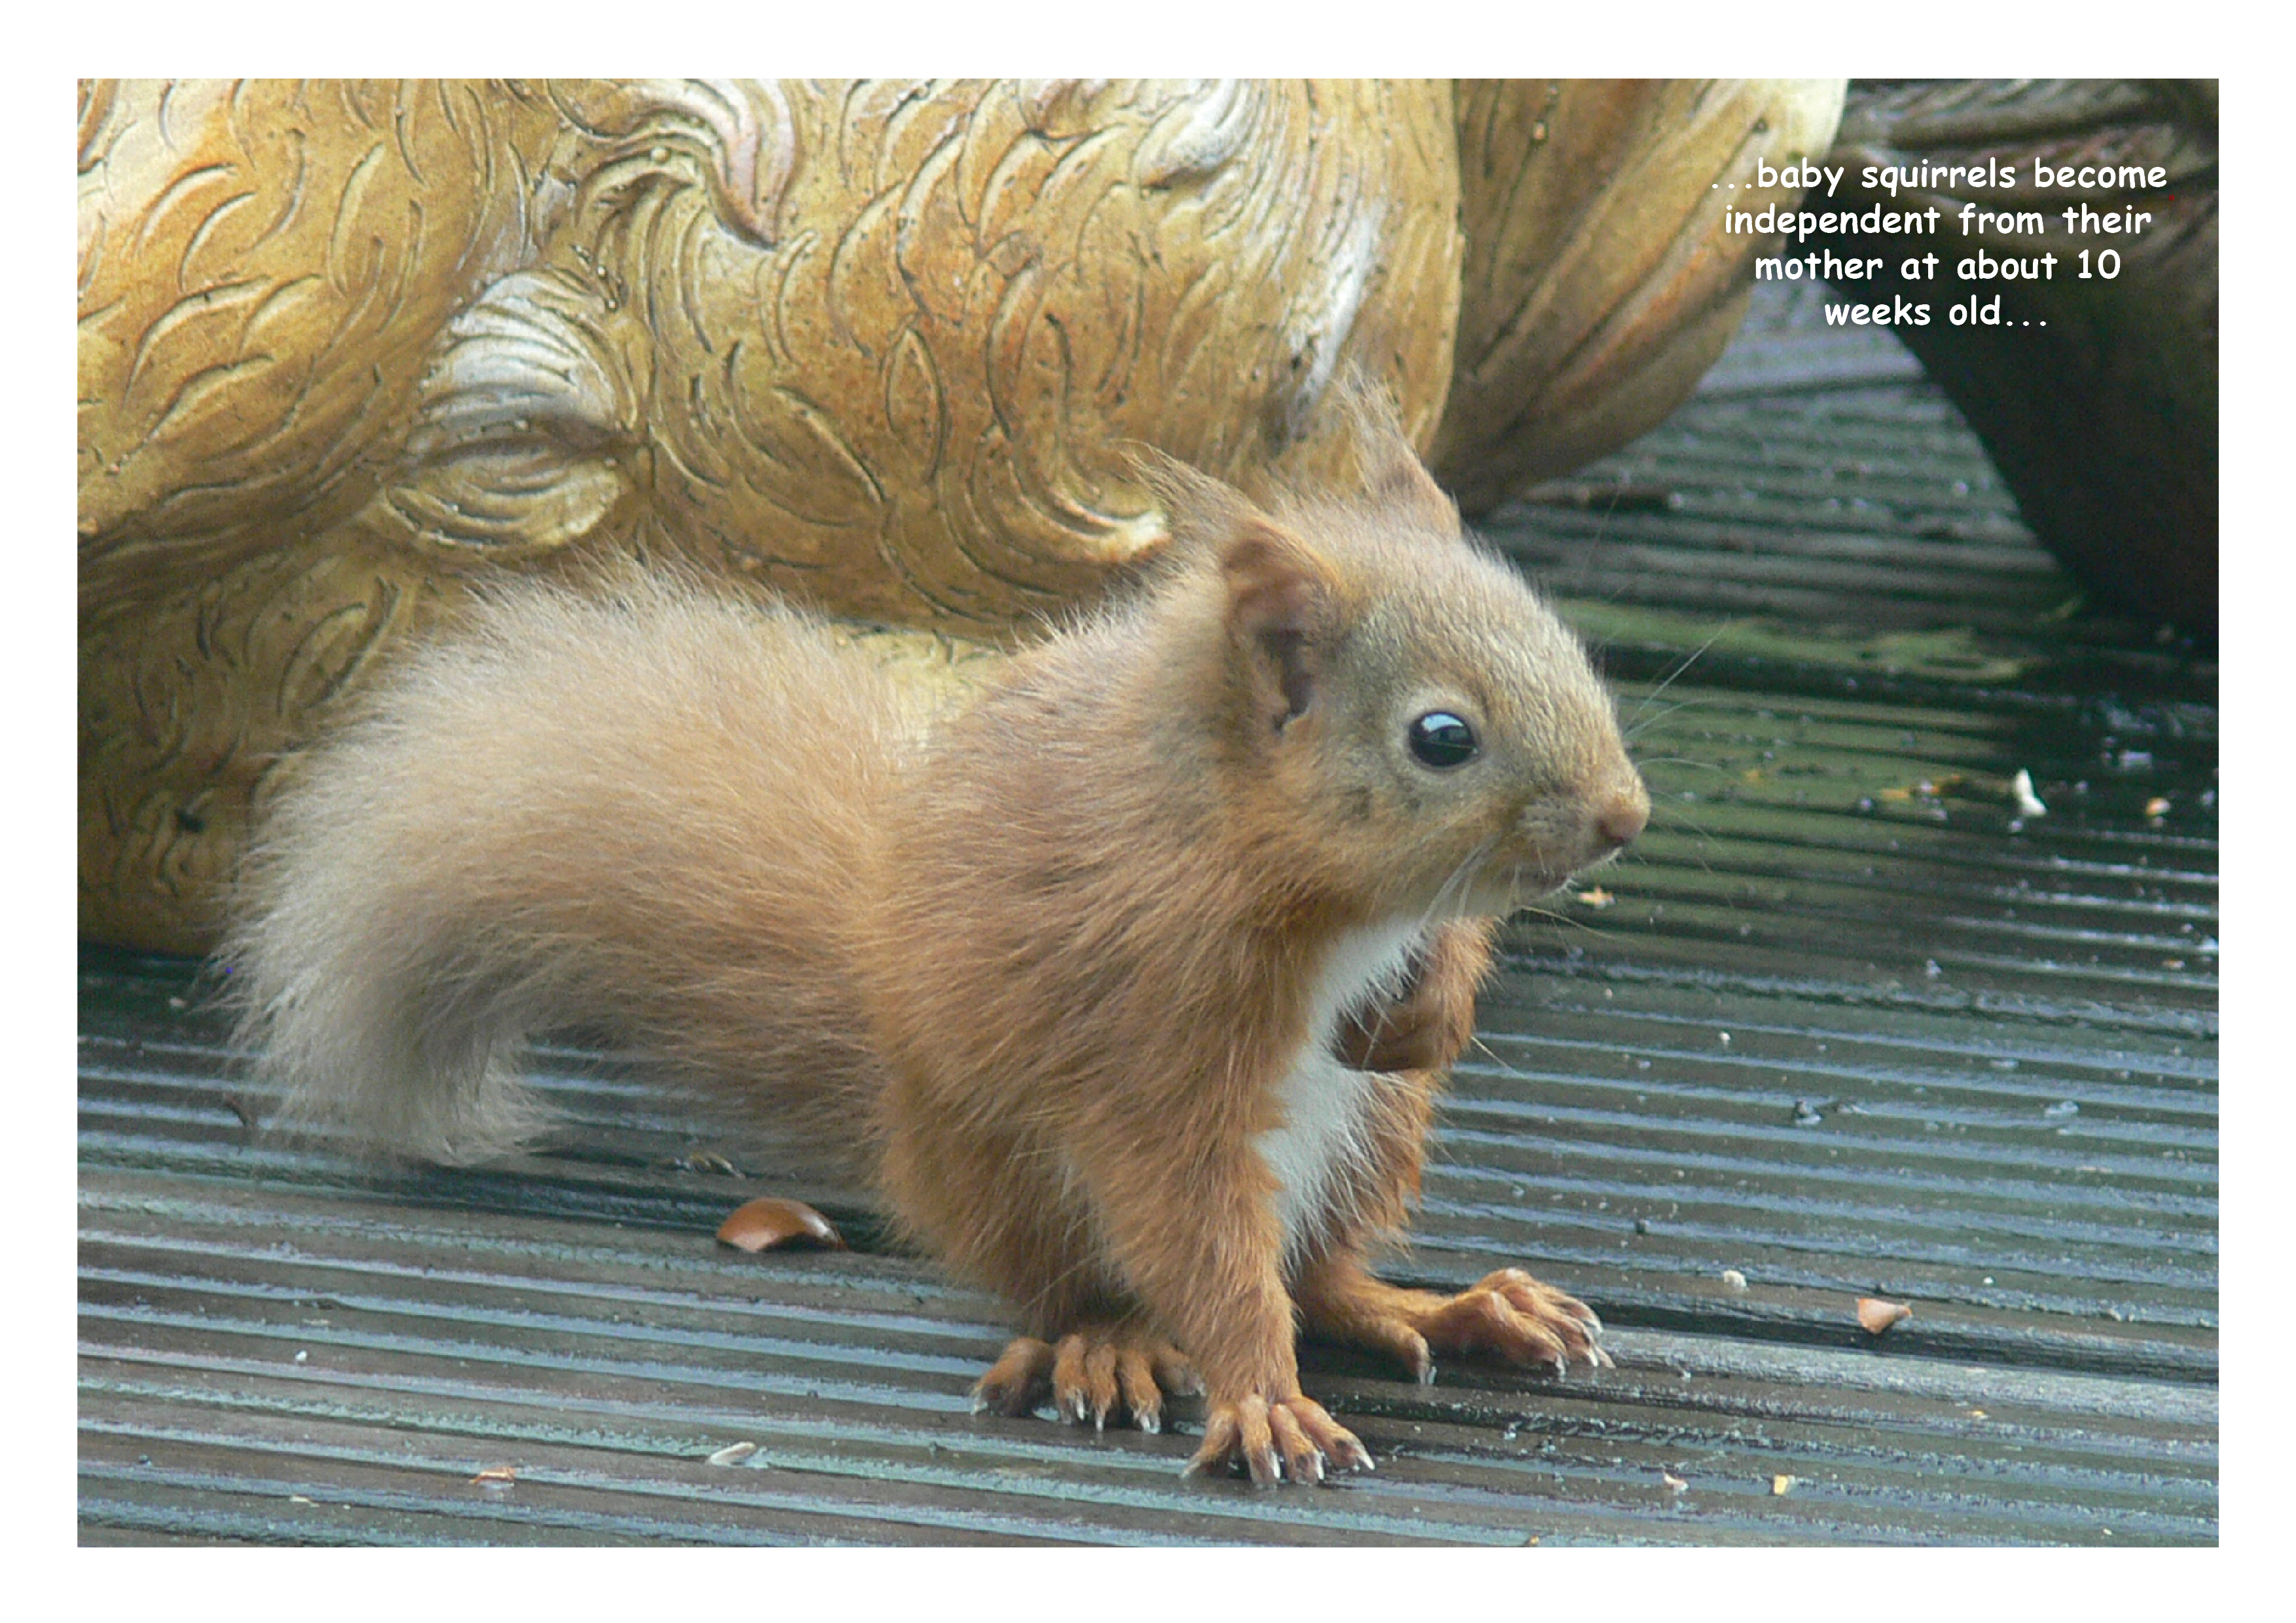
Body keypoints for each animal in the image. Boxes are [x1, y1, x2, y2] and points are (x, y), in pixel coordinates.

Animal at [224, 392, 1643, 1488]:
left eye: (1565, 644)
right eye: (1440, 737)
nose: (1623, 817)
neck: (1314, 895)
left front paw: (1430, 1008)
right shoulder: (1154, 1032)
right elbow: (1197, 1234)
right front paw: (1259, 1397)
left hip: (1371, 1135)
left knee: (1323, 1268)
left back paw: (1447, 1304)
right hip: (1019, 1175)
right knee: (1120, 1282)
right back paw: (1105, 1343)